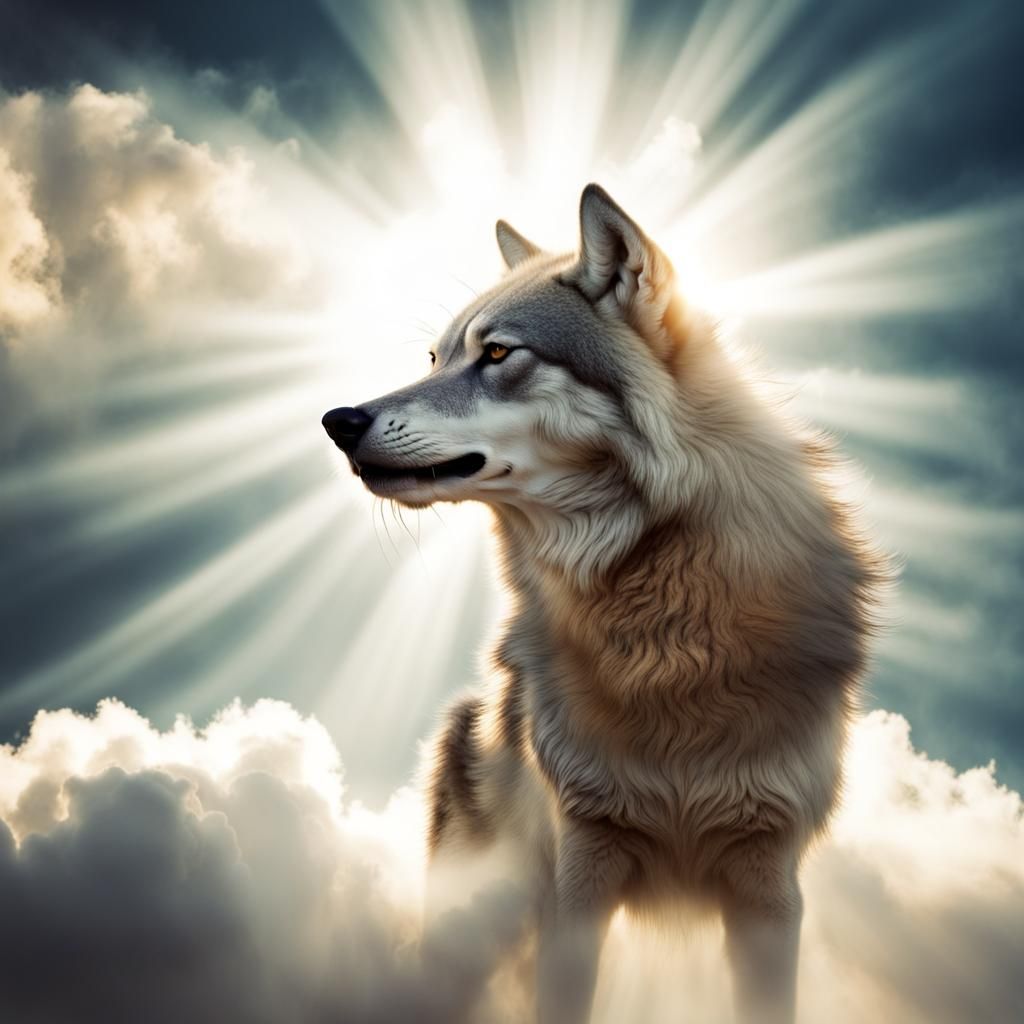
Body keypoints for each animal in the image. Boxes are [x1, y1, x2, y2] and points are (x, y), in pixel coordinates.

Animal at [322, 184, 886, 1024]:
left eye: (498, 354)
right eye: (435, 358)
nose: (339, 421)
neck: (667, 627)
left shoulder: (769, 888)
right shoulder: (578, 876)